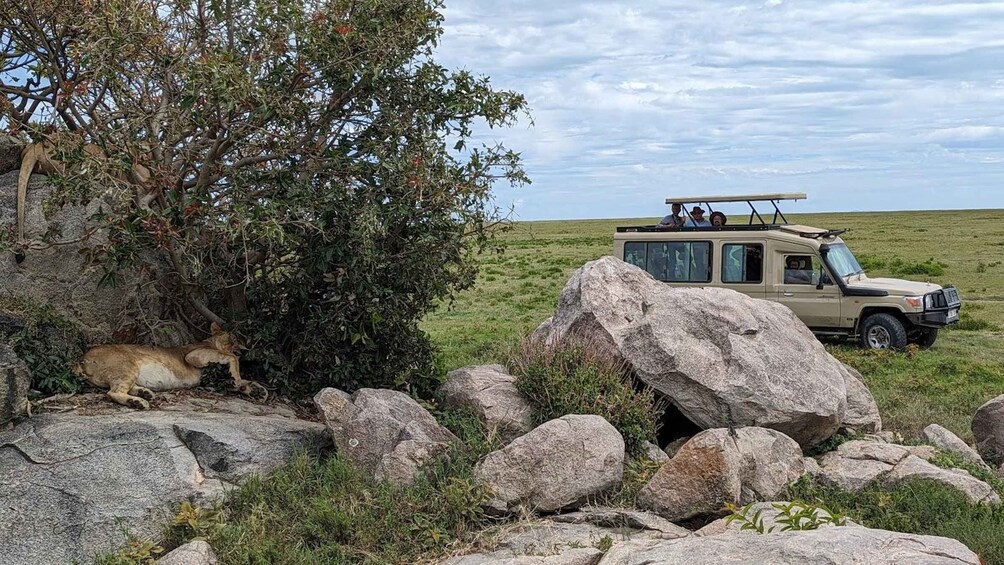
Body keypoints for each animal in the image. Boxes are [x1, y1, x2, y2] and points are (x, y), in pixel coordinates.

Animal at [75, 323, 266, 409]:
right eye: (232, 338)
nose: (244, 348)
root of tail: (82, 358)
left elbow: (244, 381)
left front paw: (257, 390)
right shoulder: (194, 355)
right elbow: (232, 359)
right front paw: (238, 379)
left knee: (121, 387)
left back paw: (145, 393)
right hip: (126, 364)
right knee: (113, 392)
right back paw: (139, 402)